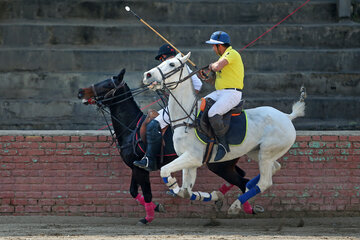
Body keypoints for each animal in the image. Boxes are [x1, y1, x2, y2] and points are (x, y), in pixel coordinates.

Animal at [78, 69, 258, 225]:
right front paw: (157, 207)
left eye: (107, 85)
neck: (130, 127)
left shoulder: (142, 168)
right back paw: (221, 198)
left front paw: (148, 217)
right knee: (242, 177)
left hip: (220, 166)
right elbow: (133, 191)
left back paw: (245, 208)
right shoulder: (134, 167)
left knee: (243, 182)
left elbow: (147, 193)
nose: (80, 91)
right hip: (225, 164)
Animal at [142, 52, 306, 214]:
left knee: (265, 182)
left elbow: (165, 171)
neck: (187, 117)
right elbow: (186, 191)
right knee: (275, 167)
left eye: (171, 64)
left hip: (267, 153)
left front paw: (172, 184)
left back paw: (236, 204)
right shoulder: (189, 161)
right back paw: (247, 187)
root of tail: (287, 117)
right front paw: (214, 195)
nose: (147, 75)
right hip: (256, 151)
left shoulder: (193, 157)